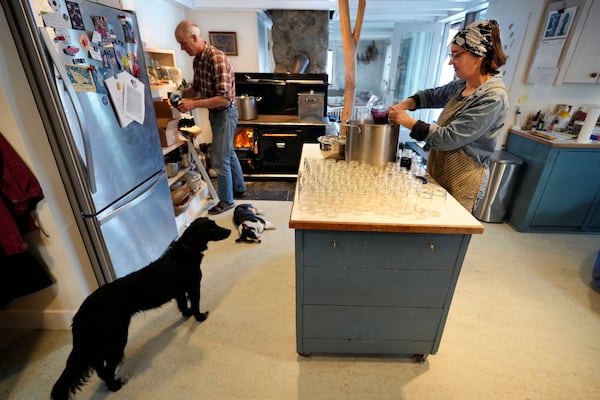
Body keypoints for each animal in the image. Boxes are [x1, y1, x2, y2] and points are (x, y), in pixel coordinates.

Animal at [51, 219, 231, 400]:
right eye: (212, 228)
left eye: (215, 224)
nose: (229, 231)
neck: (185, 250)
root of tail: (80, 316)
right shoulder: (194, 287)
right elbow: (195, 305)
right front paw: (200, 317)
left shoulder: (180, 291)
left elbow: (183, 305)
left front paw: (187, 314)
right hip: (116, 338)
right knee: (107, 368)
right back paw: (116, 386)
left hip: (100, 344)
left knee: (100, 369)